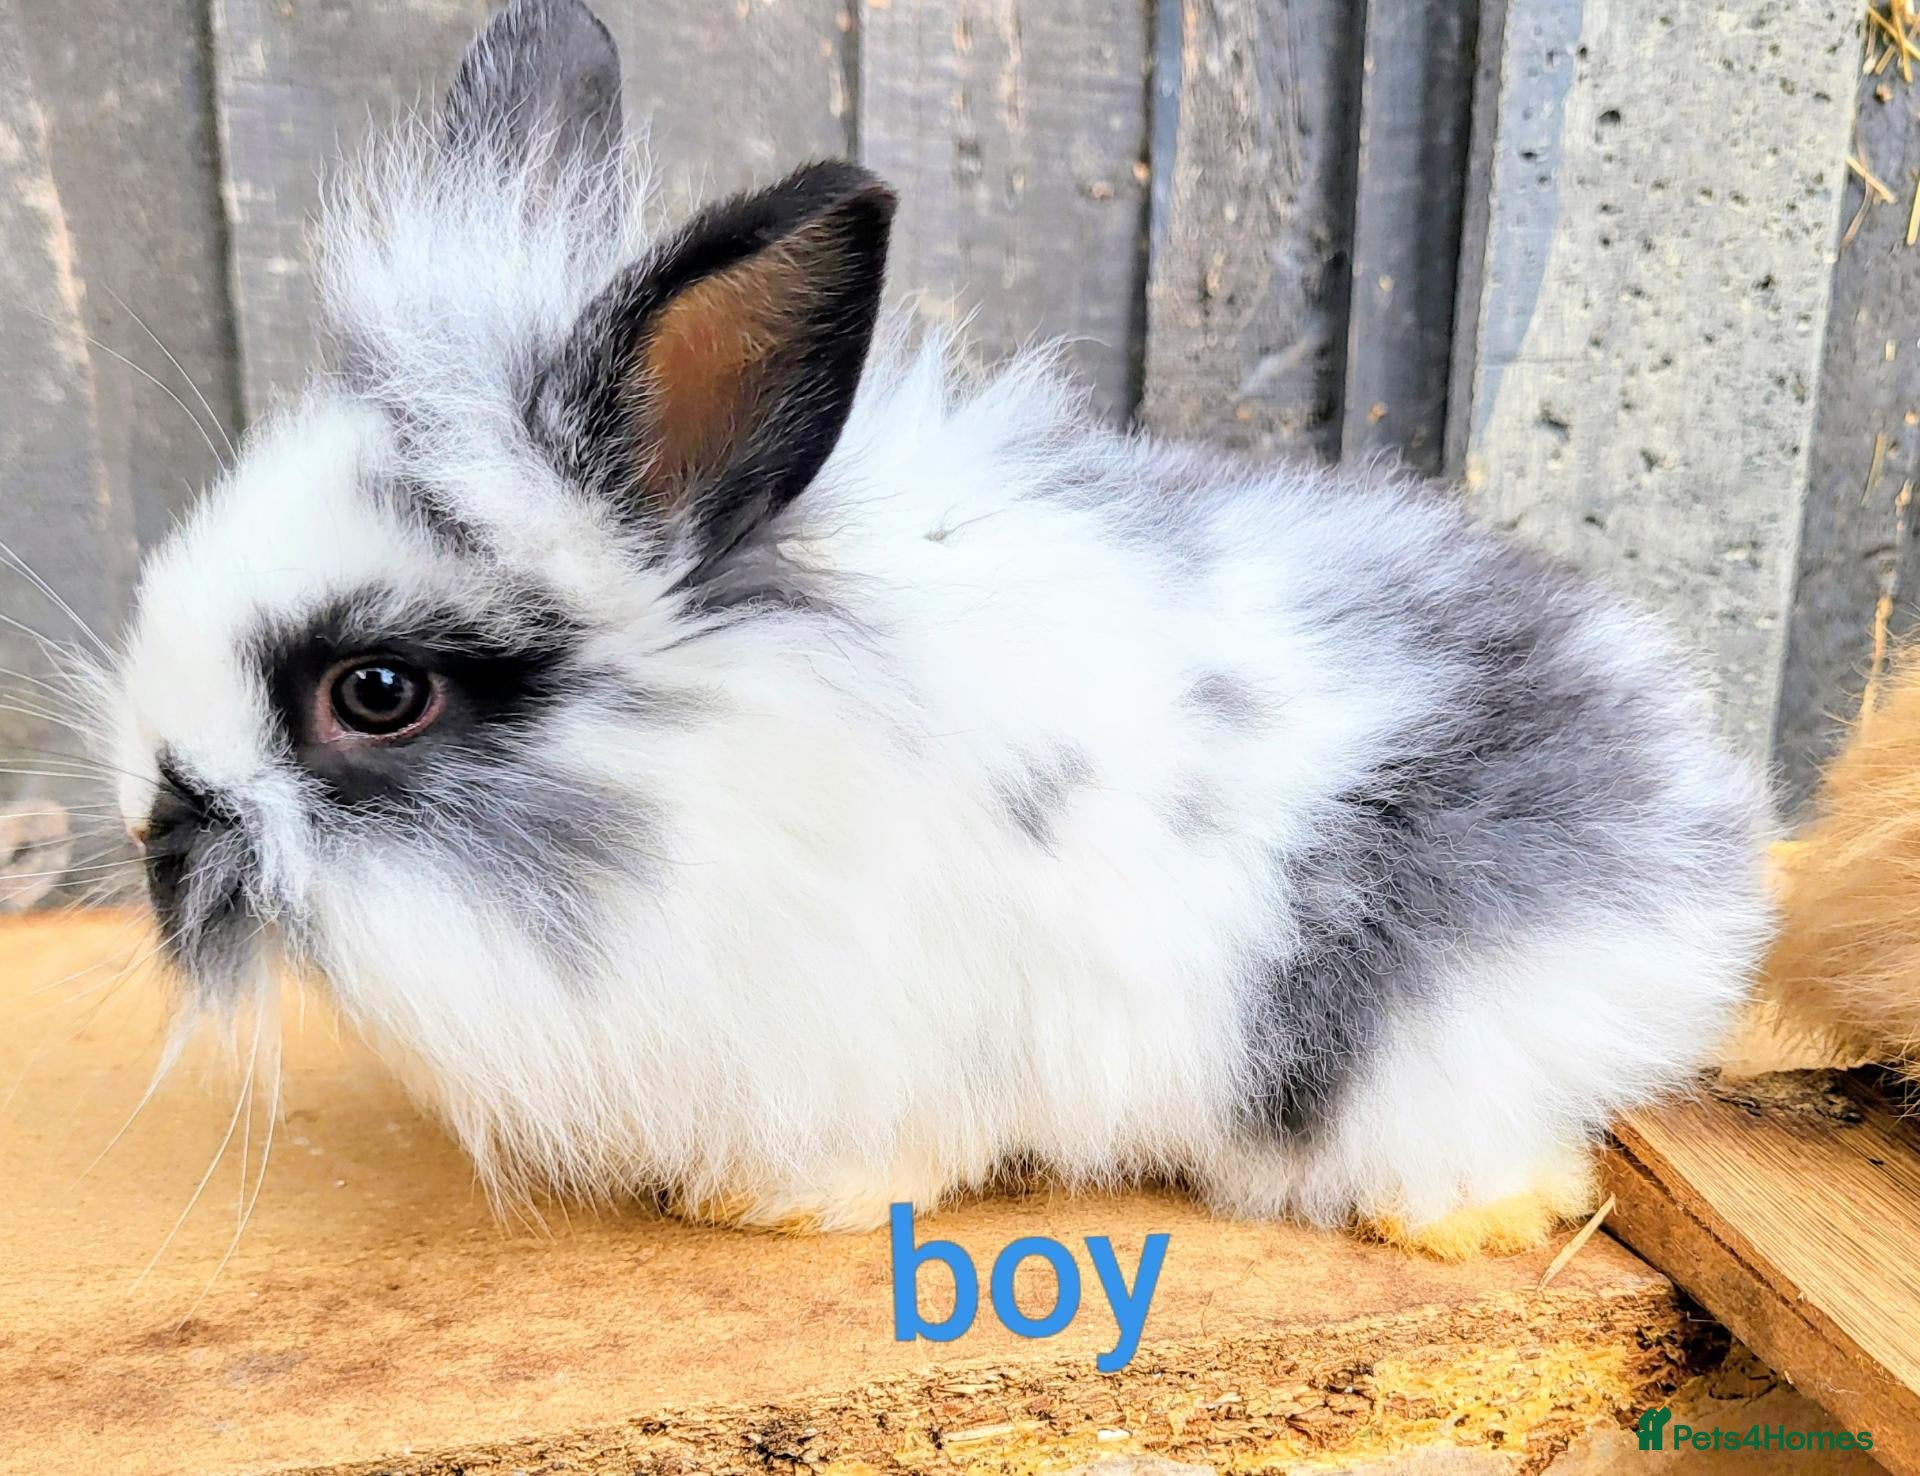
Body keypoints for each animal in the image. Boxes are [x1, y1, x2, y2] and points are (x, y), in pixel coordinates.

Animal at [100, 0, 1773, 1256]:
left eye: (376, 692)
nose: (151, 827)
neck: (717, 770)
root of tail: (1692, 814)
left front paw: (765, 1205)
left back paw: (1461, 1221)